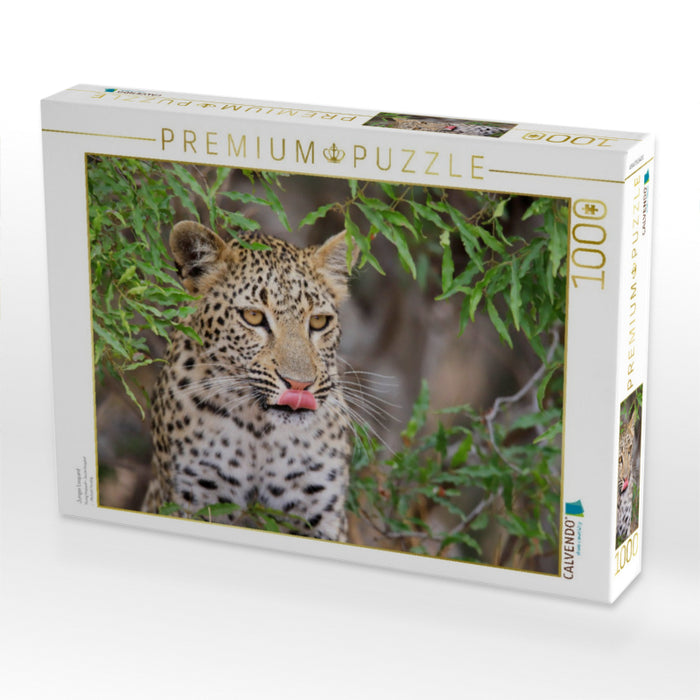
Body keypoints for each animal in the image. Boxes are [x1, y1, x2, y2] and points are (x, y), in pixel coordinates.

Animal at [142, 220, 359, 542]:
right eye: (254, 316)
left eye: (319, 322)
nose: (299, 386)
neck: (260, 432)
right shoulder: (190, 499)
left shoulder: (320, 512)